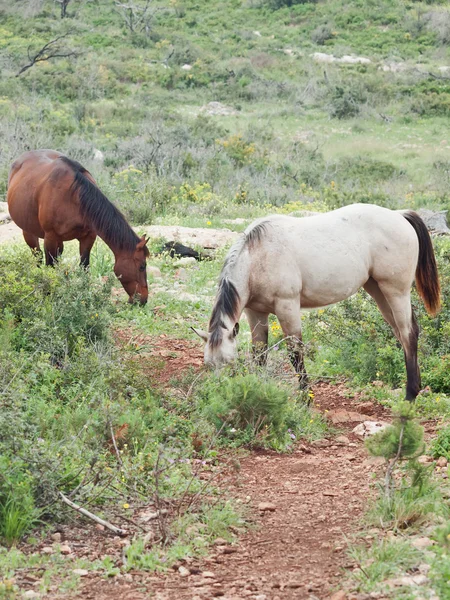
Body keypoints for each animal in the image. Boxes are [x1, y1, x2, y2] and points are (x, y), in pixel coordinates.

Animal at [6, 148, 149, 302]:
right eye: (142, 266)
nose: (143, 300)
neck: (74, 197)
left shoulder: (88, 237)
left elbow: (84, 267)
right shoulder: (50, 238)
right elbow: (49, 267)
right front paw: (49, 295)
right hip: (29, 233)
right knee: (38, 258)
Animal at [193, 204, 440, 400]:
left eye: (229, 362)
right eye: (209, 364)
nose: (219, 392)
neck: (258, 257)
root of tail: (399, 215)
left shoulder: (287, 307)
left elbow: (295, 353)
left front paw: (306, 399)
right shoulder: (255, 313)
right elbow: (259, 354)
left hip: (396, 291)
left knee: (409, 333)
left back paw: (410, 395)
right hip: (378, 291)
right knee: (401, 333)